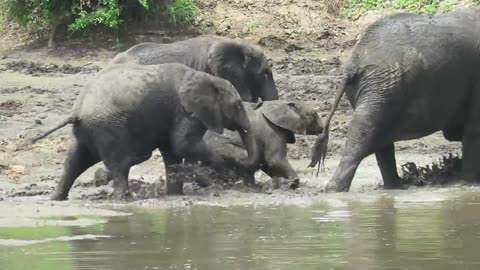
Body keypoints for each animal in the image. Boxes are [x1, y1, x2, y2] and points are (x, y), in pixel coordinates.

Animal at [27, 62, 258, 198]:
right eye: (238, 104)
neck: (206, 77)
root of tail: (78, 111)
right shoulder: (185, 112)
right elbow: (183, 144)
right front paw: (221, 171)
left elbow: (173, 151)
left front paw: (176, 192)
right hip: (108, 127)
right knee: (116, 162)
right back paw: (125, 198)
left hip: (89, 129)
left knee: (75, 160)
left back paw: (57, 198)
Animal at [310, 7, 480, 192]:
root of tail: (352, 65)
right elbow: (472, 130)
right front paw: (468, 184)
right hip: (382, 86)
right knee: (364, 133)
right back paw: (336, 189)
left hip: (377, 88)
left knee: (379, 140)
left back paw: (394, 187)